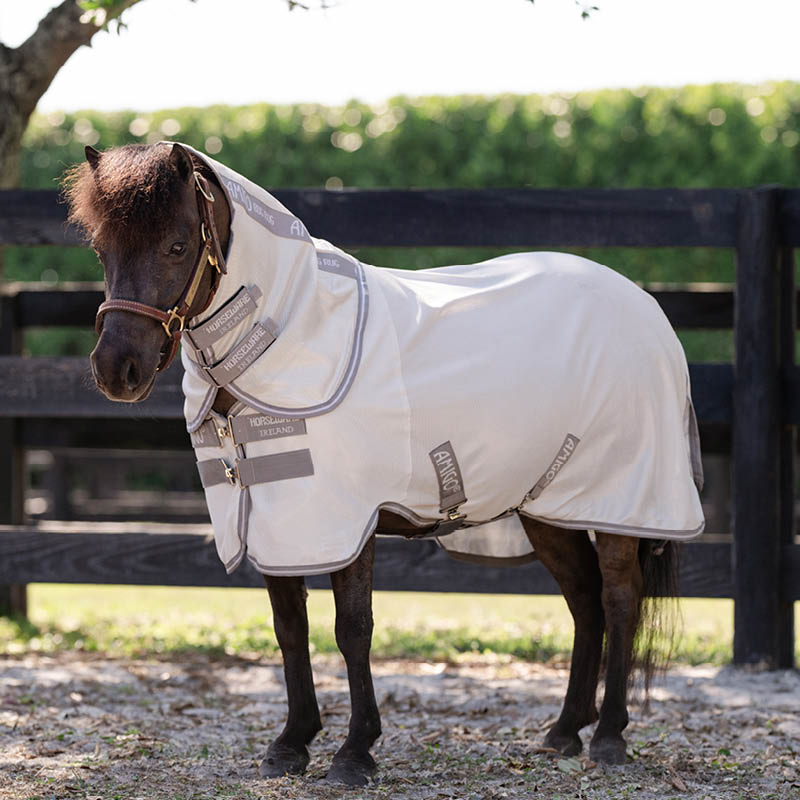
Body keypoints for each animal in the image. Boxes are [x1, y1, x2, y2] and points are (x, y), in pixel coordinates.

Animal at [62, 141, 703, 787]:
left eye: (176, 245)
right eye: (101, 250)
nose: (117, 369)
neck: (293, 334)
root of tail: (645, 306)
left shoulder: (347, 522)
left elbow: (352, 629)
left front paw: (354, 751)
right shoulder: (279, 519)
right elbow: (290, 628)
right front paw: (291, 743)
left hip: (621, 500)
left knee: (620, 596)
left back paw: (611, 737)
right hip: (548, 508)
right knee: (585, 600)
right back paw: (565, 731)